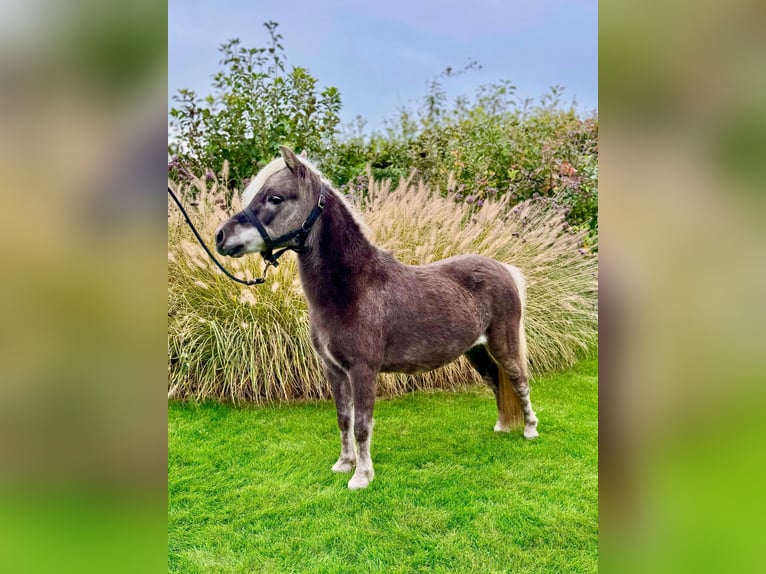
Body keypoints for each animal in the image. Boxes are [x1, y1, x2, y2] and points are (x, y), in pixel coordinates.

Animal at [216, 147, 540, 490]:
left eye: (275, 197)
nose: (221, 236)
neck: (354, 288)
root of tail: (504, 268)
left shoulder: (363, 370)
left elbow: (361, 424)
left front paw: (361, 476)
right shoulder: (334, 370)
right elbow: (343, 418)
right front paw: (344, 464)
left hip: (502, 342)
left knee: (518, 379)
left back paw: (530, 429)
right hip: (475, 350)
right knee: (494, 379)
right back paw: (502, 426)